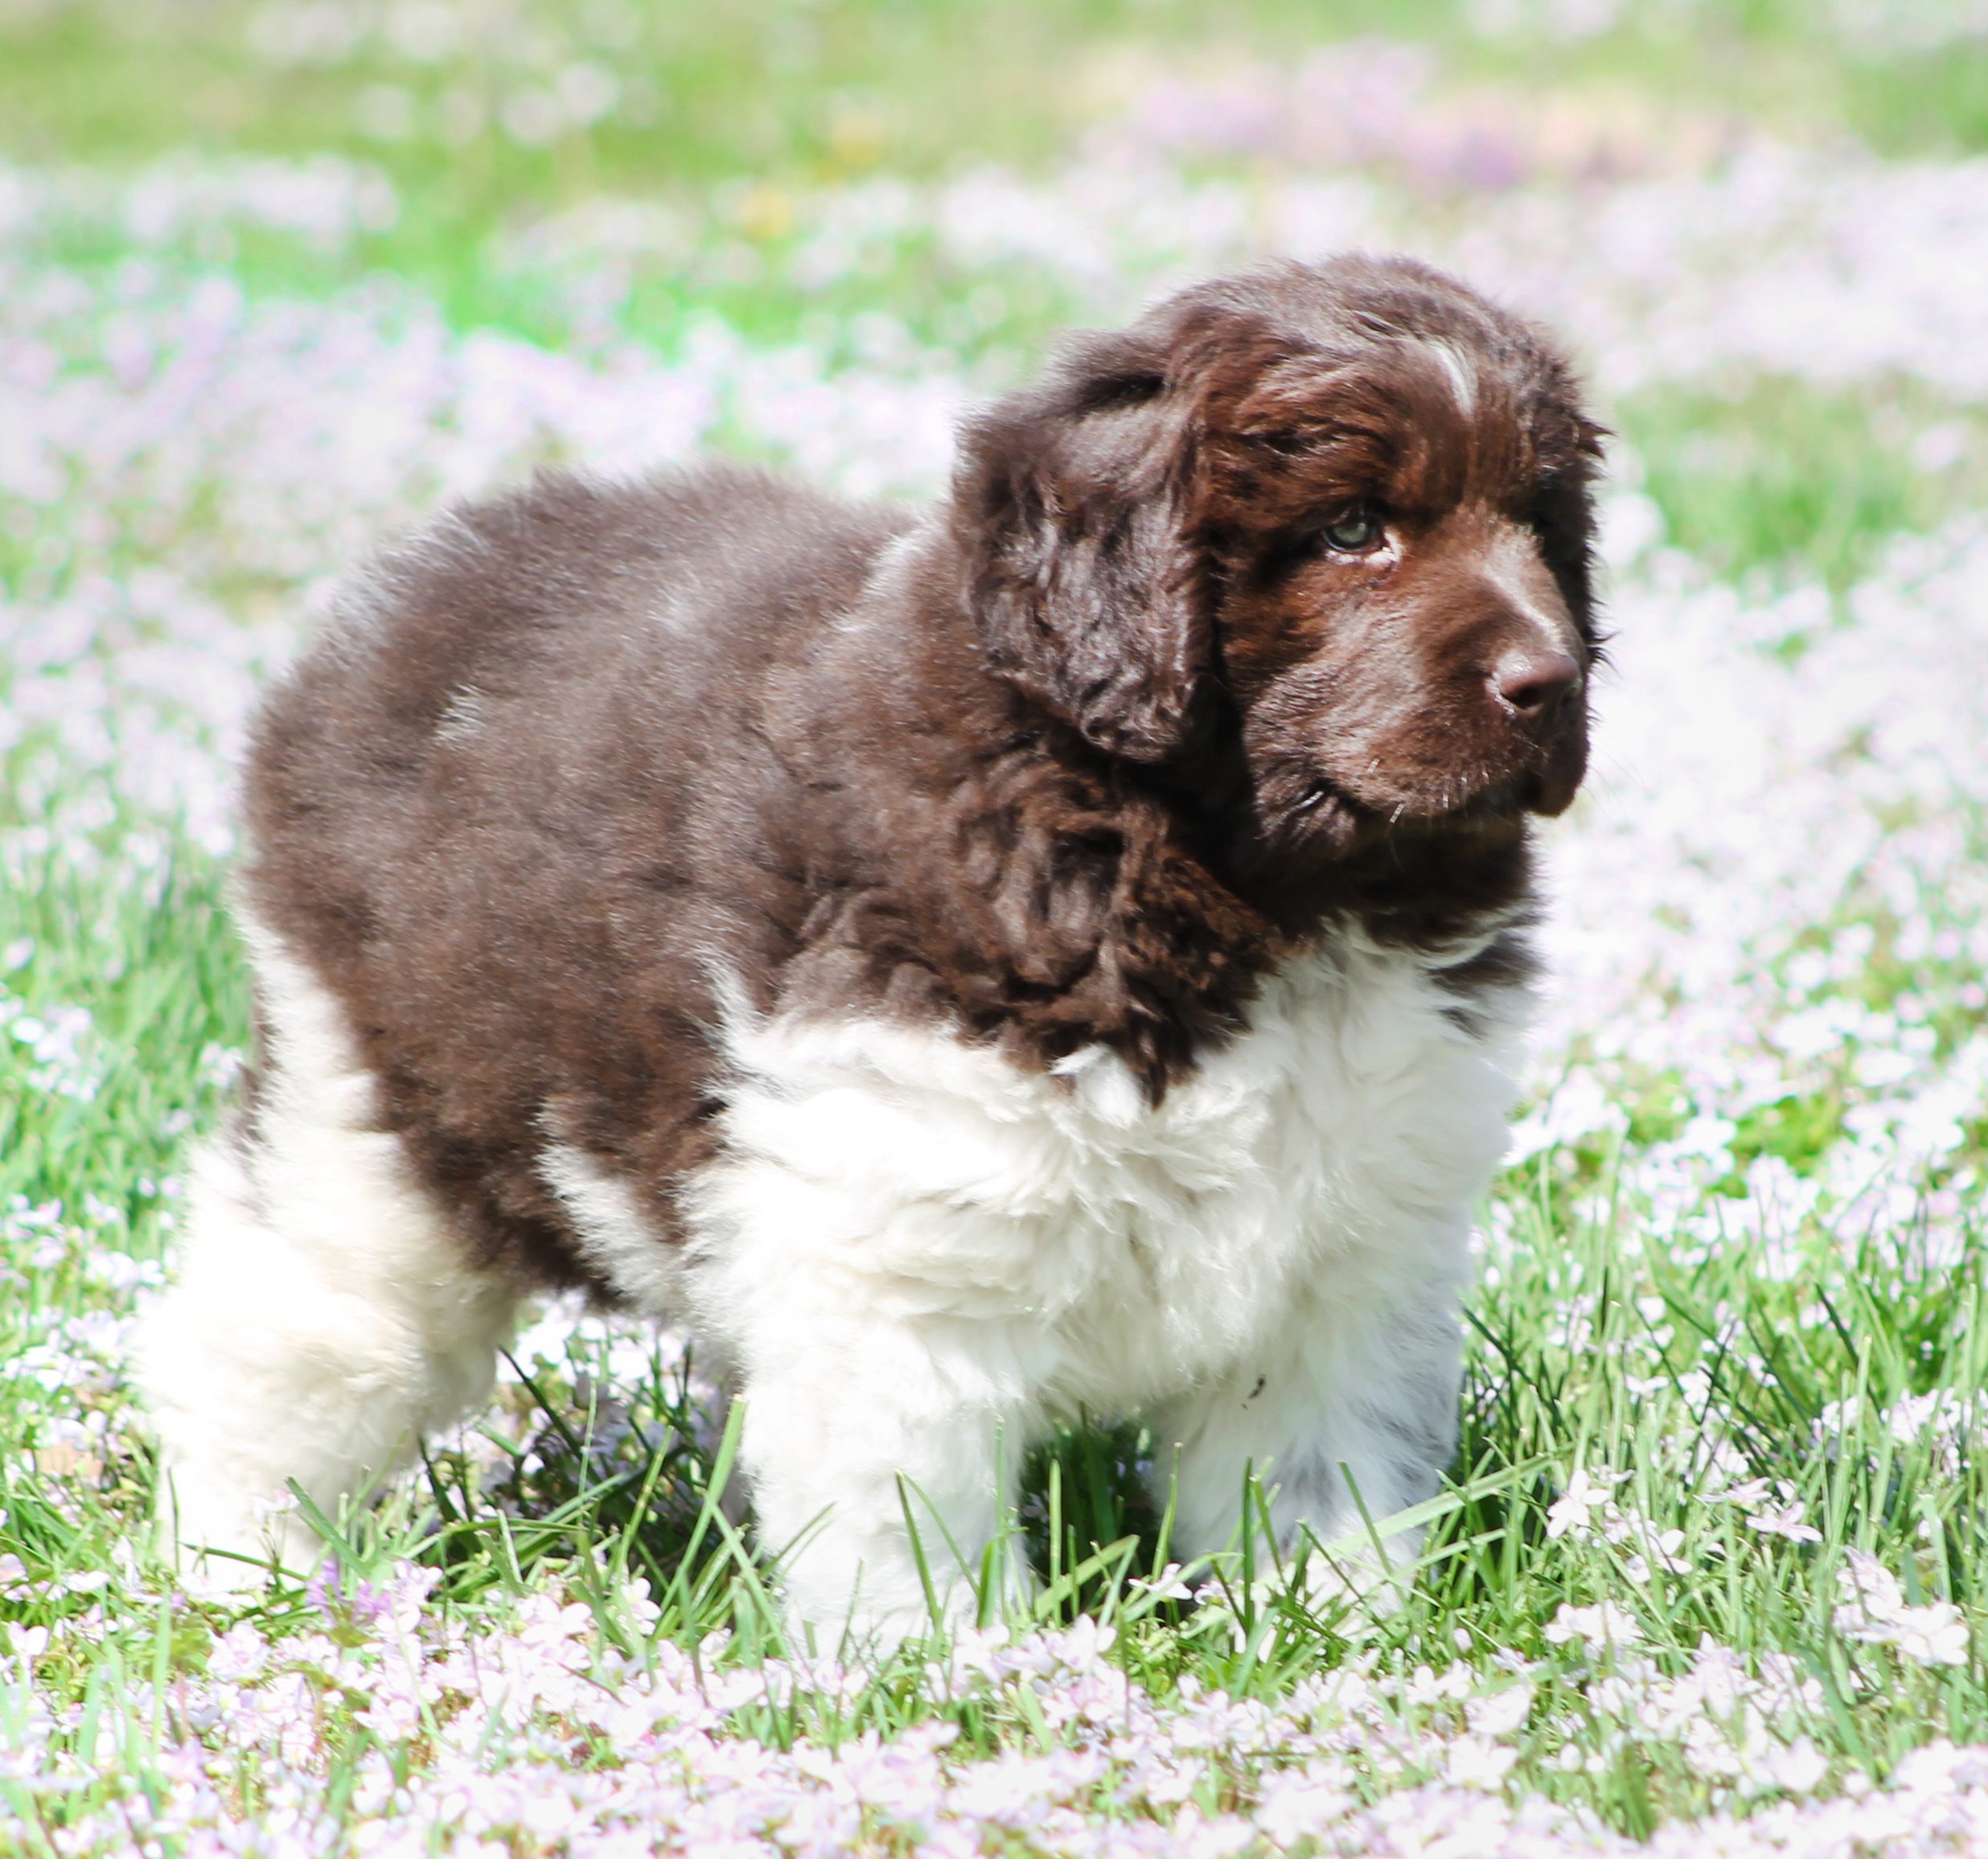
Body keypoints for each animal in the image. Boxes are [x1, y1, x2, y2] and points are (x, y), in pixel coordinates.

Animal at [140, 258, 1598, 1646]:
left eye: (1538, 526)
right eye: (1352, 530)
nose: (1550, 683)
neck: (1254, 892)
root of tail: (406, 596)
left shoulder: (1348, 1262)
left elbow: (1315, 1482)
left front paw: (1336, 1635)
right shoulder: (902, 1240)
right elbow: (911, 1515)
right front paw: (952, 1670)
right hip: (375, 1121)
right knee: (290, 1338)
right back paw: (244, 1576)